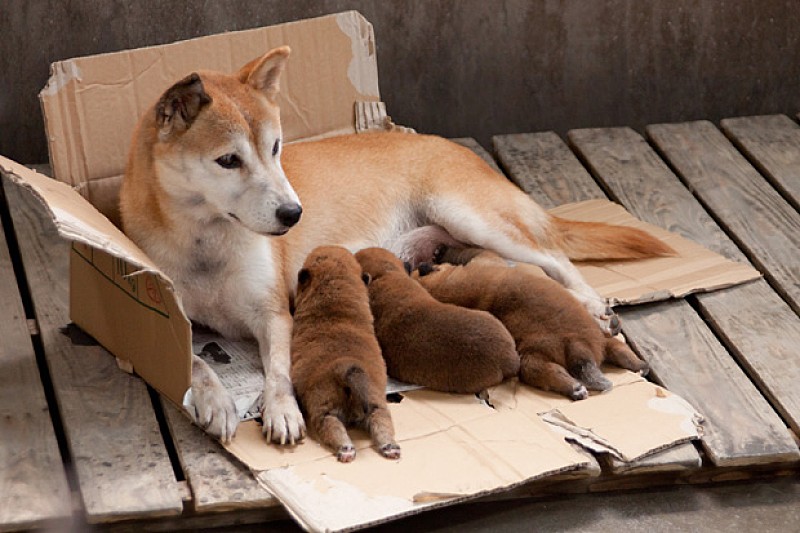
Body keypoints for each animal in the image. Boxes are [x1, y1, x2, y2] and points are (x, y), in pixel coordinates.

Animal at [290, 246, 400, 462]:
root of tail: (347, 367)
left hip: (323, 409)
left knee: (331, 426)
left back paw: (346, 450)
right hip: (376, 403)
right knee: (381, 421)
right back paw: (390, 447)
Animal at [416, 248, 648, 400]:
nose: (422, 263)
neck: (449, 287)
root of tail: (578, 344)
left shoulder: (484, 261)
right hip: (536, 359)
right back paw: (579, 388)